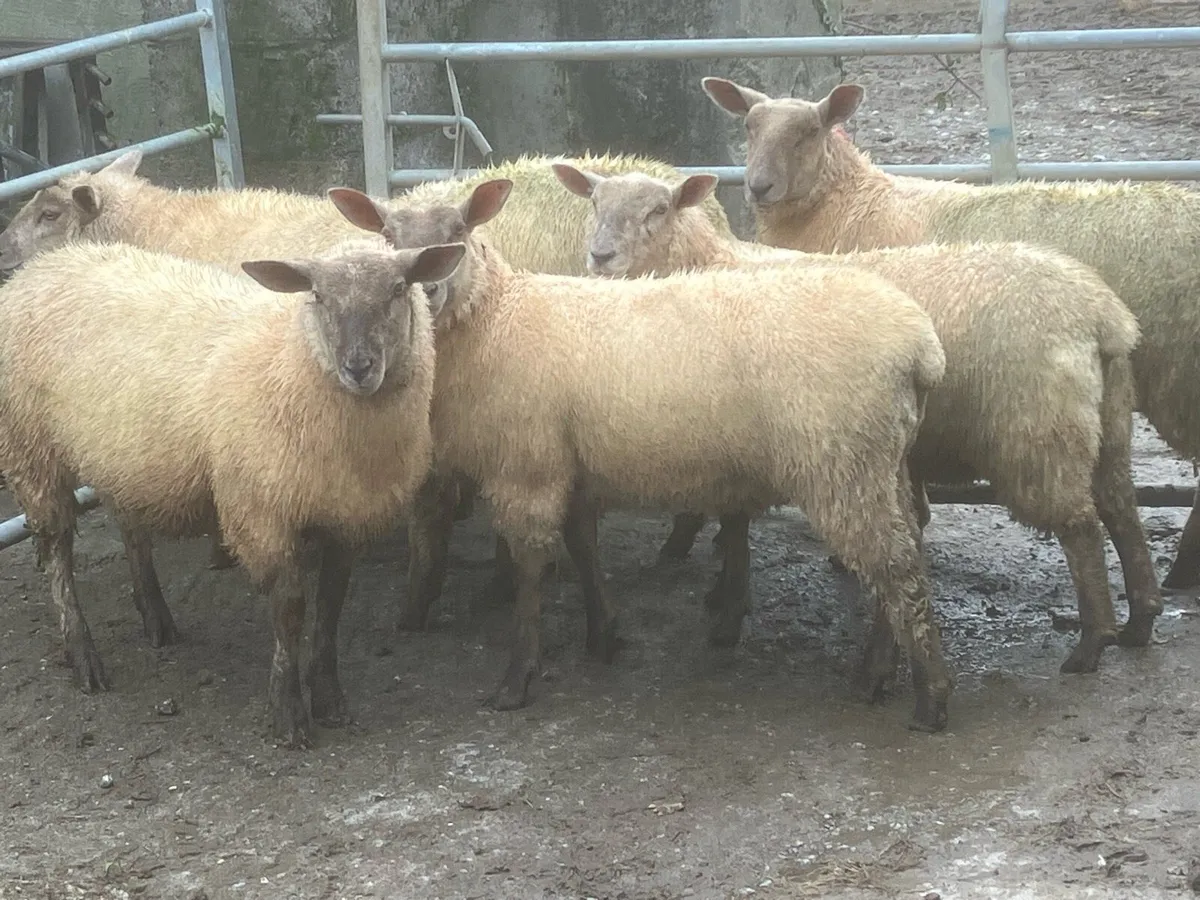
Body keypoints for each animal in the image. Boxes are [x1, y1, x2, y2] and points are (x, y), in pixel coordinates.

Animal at [0, 237, 465, 747]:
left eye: (399, 288)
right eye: (317, 295)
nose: (358, 367)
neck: (293, 360)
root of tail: (41, 265)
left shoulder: (346, 514)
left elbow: (331, 609)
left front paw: (328, 698)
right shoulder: (262, 512)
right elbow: (290, 610)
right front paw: (288, 711)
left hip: (123, 456)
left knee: (131, 529)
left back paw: (156, 618)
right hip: (30, 447)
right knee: (57, 553)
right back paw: (83, 655)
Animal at [334, 177, 960, 733]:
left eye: (460, 230)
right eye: (387, 235)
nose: (430, 290)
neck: (498, 318)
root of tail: (920, 347)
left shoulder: (527, 465)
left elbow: (533, 571)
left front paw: (518, 679)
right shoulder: (571, 463)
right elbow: (583, 547)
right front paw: (603, 633)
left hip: (842, 463)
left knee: (896, 567)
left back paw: (929, 699)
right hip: (883, 461)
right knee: (906, 547)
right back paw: (877, 673)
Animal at [552, 162, 1163, 677]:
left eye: (659, 210)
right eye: (595, 202)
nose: (600, 256)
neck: (708, 263)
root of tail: (1100, 312)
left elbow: (732, 520)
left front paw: (724, 605)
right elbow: (735, 519)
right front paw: (725, 595)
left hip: (1037, 431)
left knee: (1081, 527)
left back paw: (1091, 644)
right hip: (1106, 420)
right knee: (1122, 510)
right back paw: (1141, 619)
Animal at [701, 75, 1200, 593]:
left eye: (810, 131)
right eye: (750, 126)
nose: (759, 186)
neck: (847, 204)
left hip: (1179, 376)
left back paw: (1181, 570)